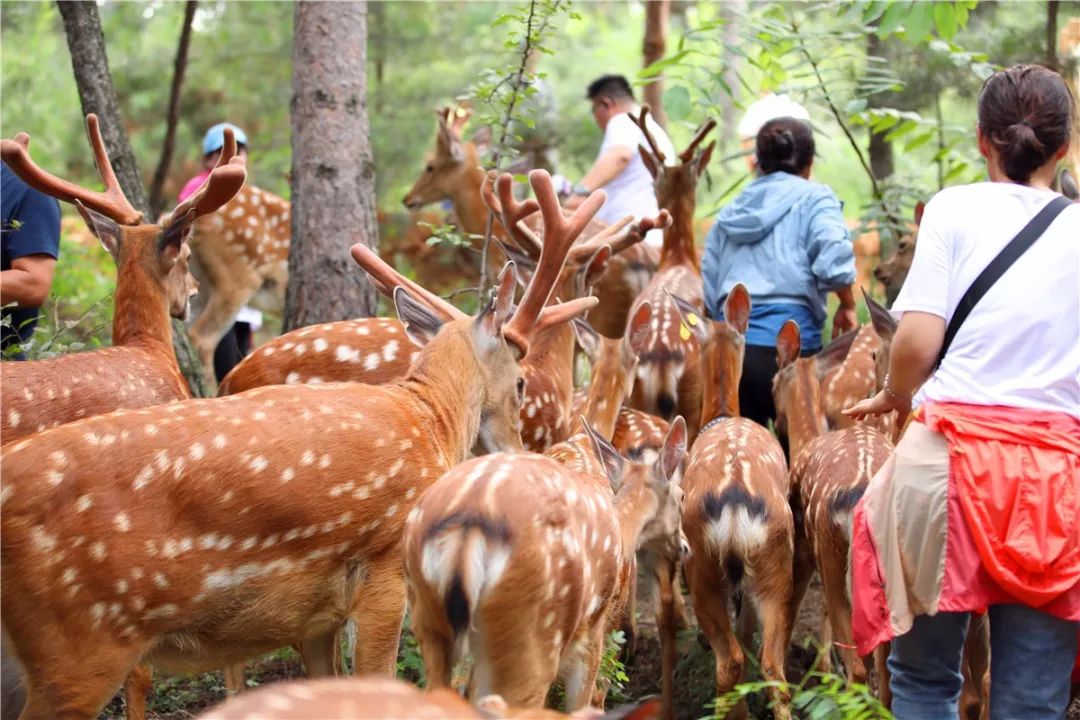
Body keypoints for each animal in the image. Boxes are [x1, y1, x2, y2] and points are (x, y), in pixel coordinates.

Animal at [0, 170, 600, 720]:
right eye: (520, 381)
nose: (521, 448)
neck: (430, 419)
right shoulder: (385, 569)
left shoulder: (317, 616)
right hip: (79, 644)